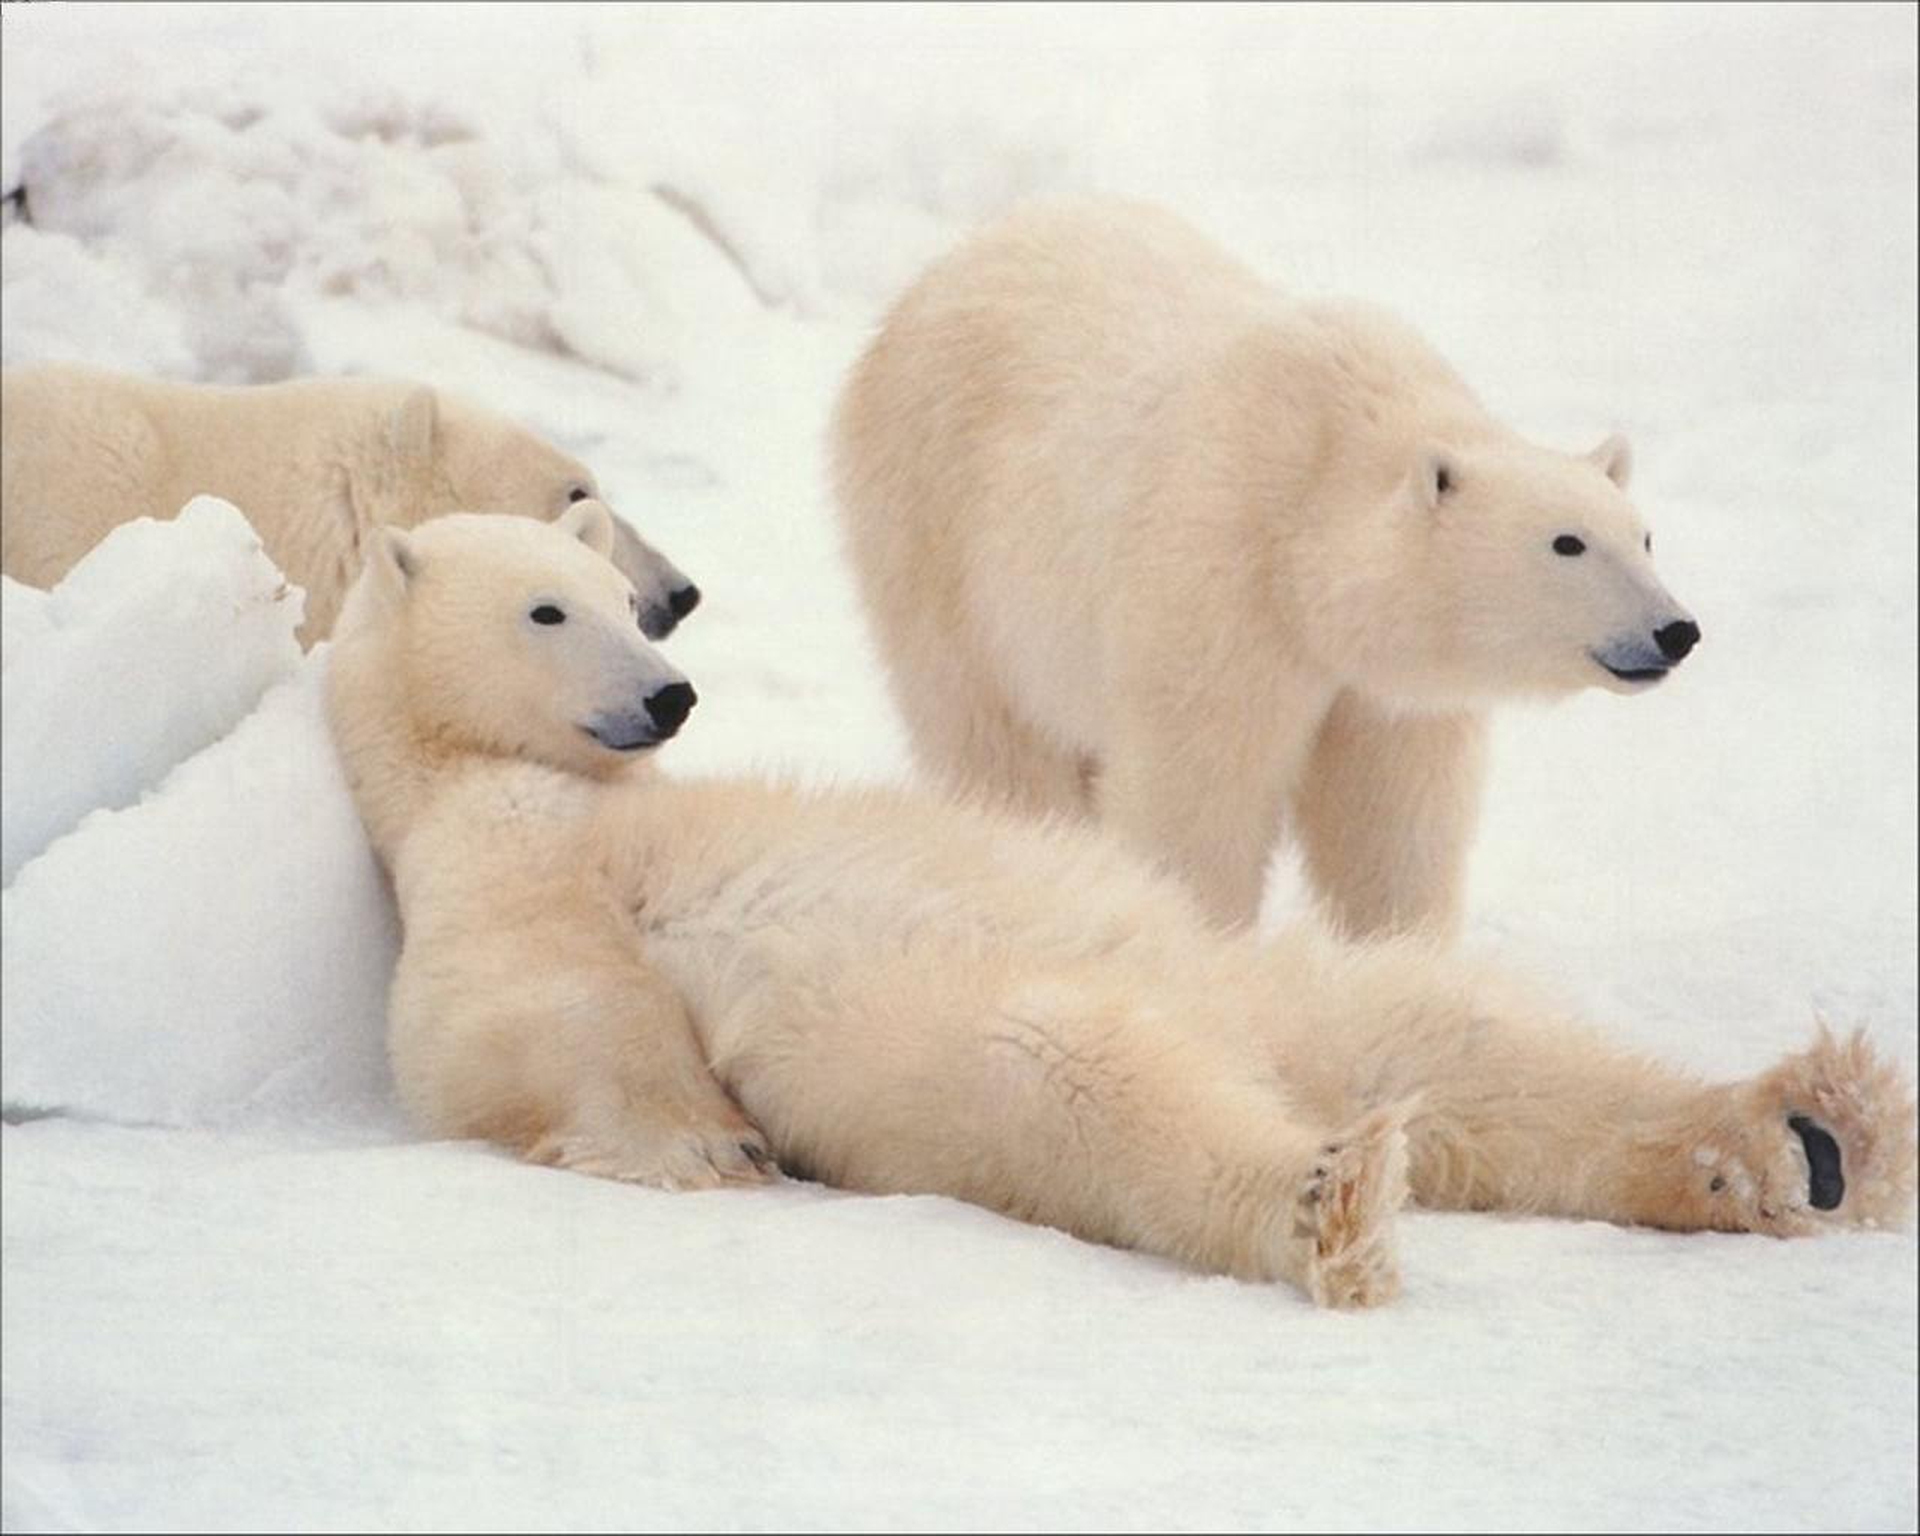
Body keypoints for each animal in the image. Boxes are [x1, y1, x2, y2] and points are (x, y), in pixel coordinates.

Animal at [324, 508, 1912, 1310]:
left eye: (620, 599)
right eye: (548, 609)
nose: (668, 694)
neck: (529, 787)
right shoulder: (491, 881)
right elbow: (535, 1021)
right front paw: (704, 1148)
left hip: (1258, 982)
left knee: (1455, 1041)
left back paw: (1804, 1136)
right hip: (940, 1033)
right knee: (1072, 1073)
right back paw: (1332, 1196)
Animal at [832, 198, 1701, 937]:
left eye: (1643, 537)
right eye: (1567, 542)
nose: (1675, 630)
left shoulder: (1385, 694)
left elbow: (1392, 818)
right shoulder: (1224, 576)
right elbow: (1200, 791)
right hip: (938, 537)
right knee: (995, 741)